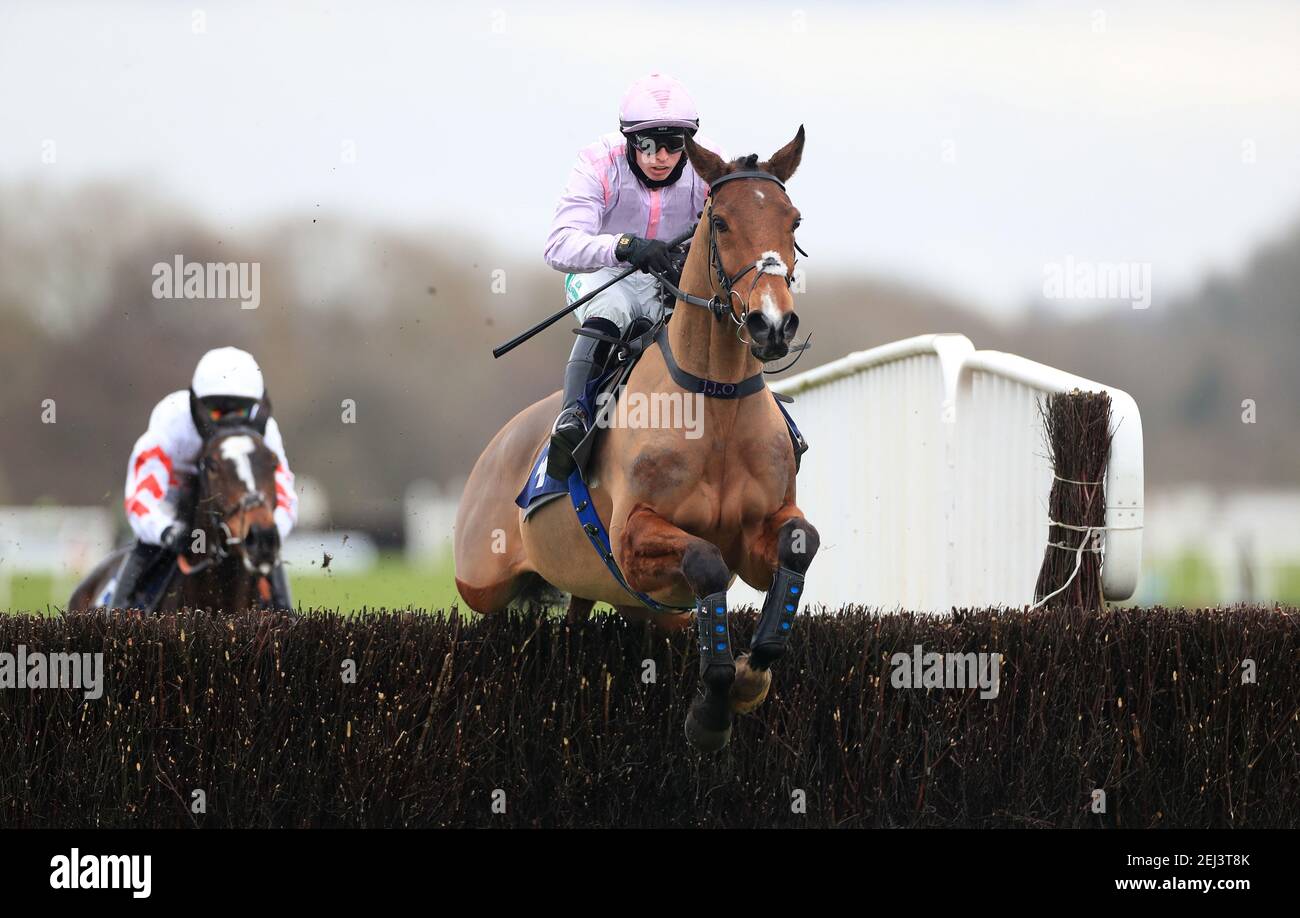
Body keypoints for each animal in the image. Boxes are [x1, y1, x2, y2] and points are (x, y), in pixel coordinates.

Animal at [457, 124, 816, 748]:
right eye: (721, 222)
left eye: (792, 220)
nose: (773, 325)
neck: (714, 403)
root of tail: (496, 446)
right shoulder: (629, 540)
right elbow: (704, 560)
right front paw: (712, 710)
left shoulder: (758, 534)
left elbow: (799, 545)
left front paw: (751, 675)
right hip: (479, 579)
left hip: (635, 603)